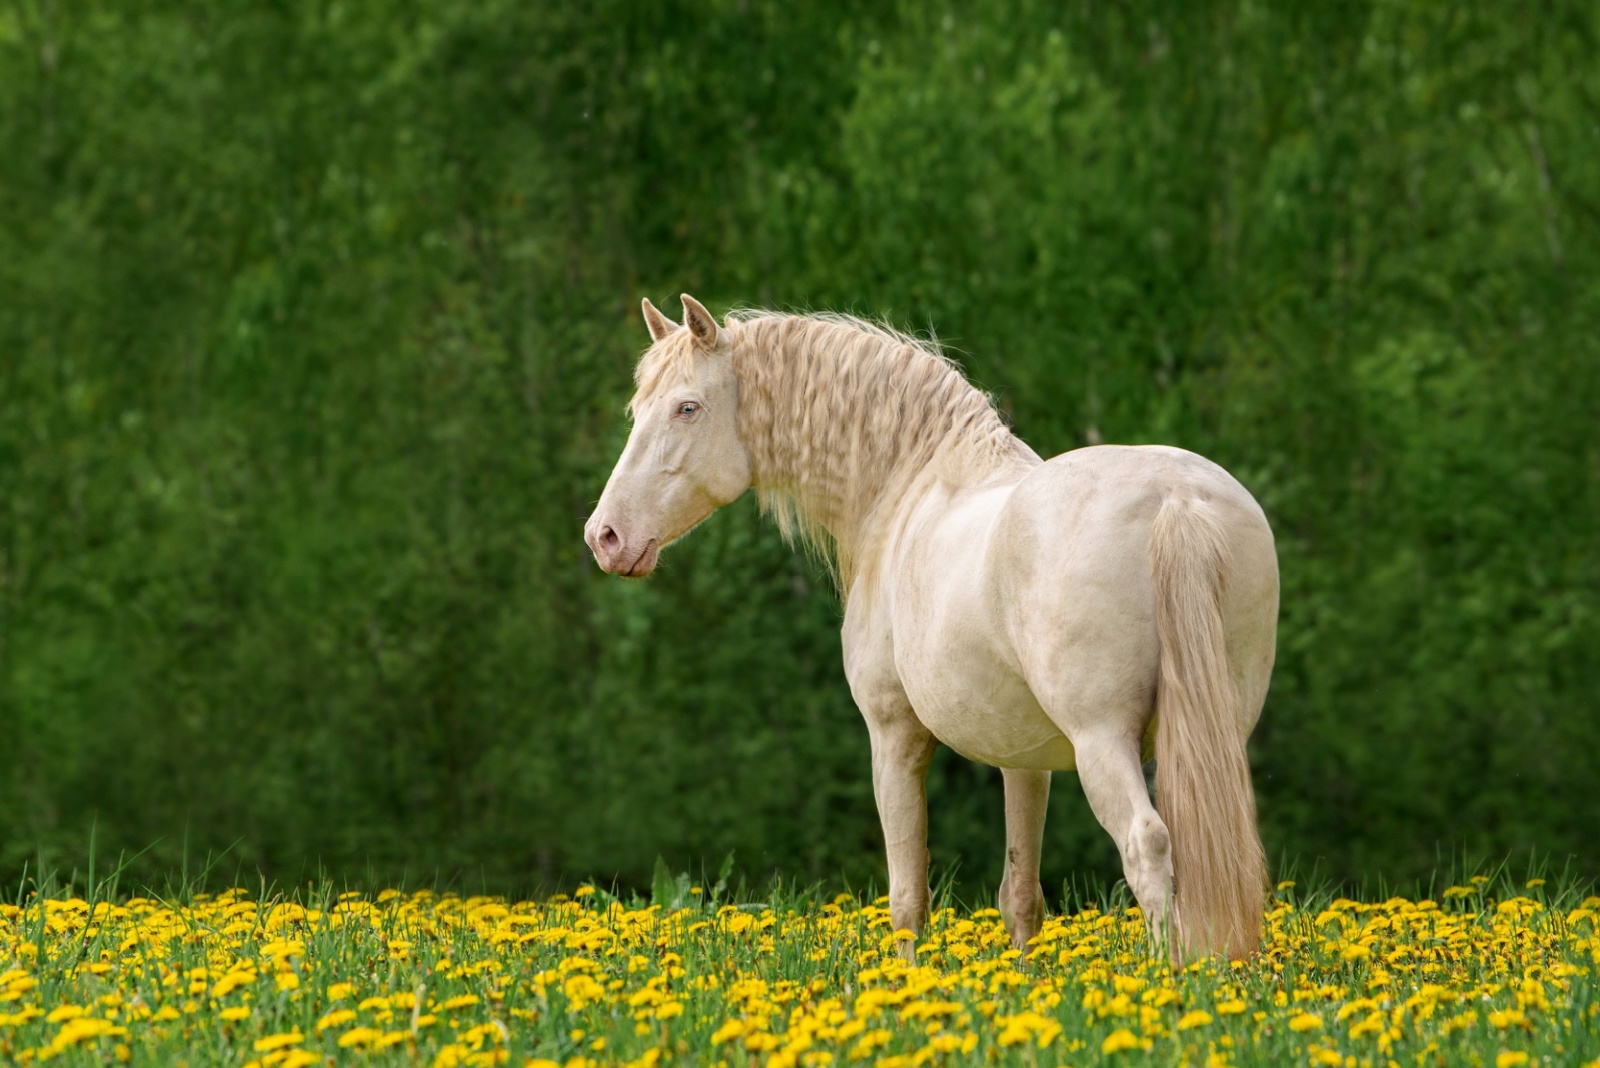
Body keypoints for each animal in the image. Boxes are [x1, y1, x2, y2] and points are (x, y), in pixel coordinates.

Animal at [585, 292, 1273, 959]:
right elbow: (1021, 897)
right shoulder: (1025, 760)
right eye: (638, 408)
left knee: (1147, 844)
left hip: (1102, 741)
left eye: (687, 407)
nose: (605, 537)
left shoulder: (894, 737)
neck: (907, 486)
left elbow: (907, 896)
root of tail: (1173, 500)